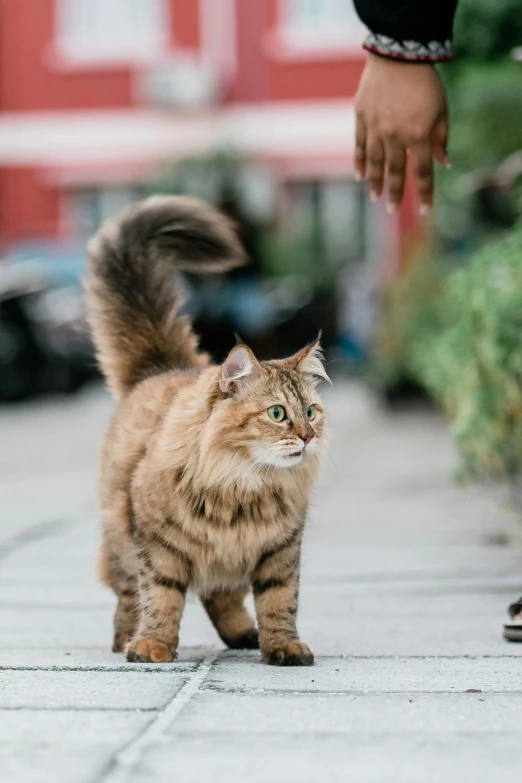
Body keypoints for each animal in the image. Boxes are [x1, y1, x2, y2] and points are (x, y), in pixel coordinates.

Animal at [86, 196, 330, 668]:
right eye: (277, 413)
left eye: (311, 412)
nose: (308, 437)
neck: (243, 484)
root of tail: (162, 369)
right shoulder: (158, 546)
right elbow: (160, 598)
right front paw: (152, 645)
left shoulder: (279, 551)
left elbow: (279, 603)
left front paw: (283, 647)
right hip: (120, 540)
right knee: (127, 597)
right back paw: (125, 639)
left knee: (222, 598)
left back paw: (243, 635)